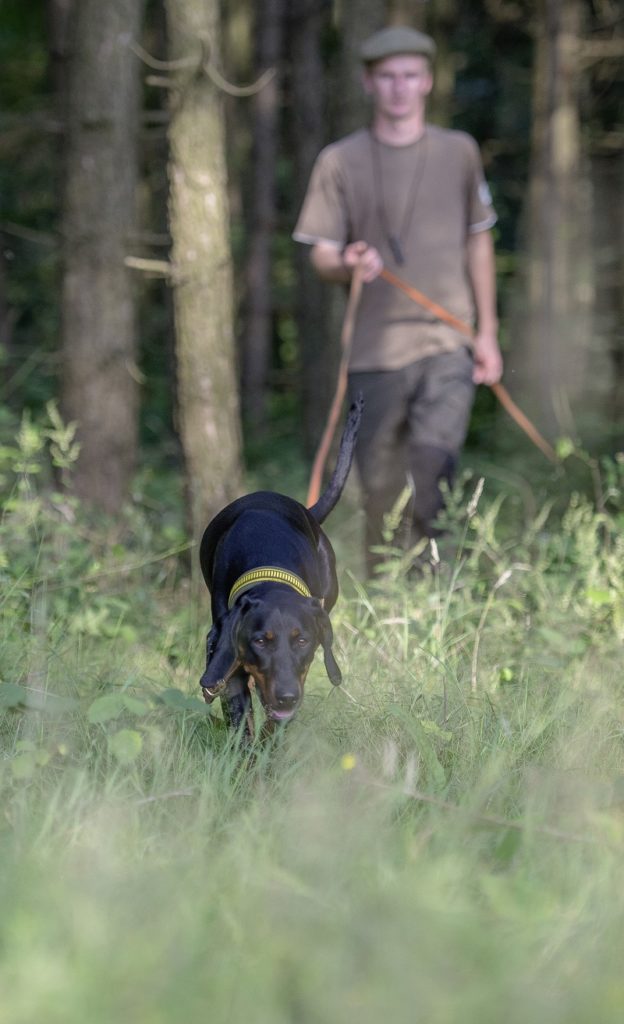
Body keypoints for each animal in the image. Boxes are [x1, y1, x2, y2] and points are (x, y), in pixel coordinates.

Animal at [199, 395, 362, 733]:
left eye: (302, 640)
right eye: (261, 640)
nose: (287, 696)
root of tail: (310, 512)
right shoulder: (229, 657)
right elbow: (241, 719)